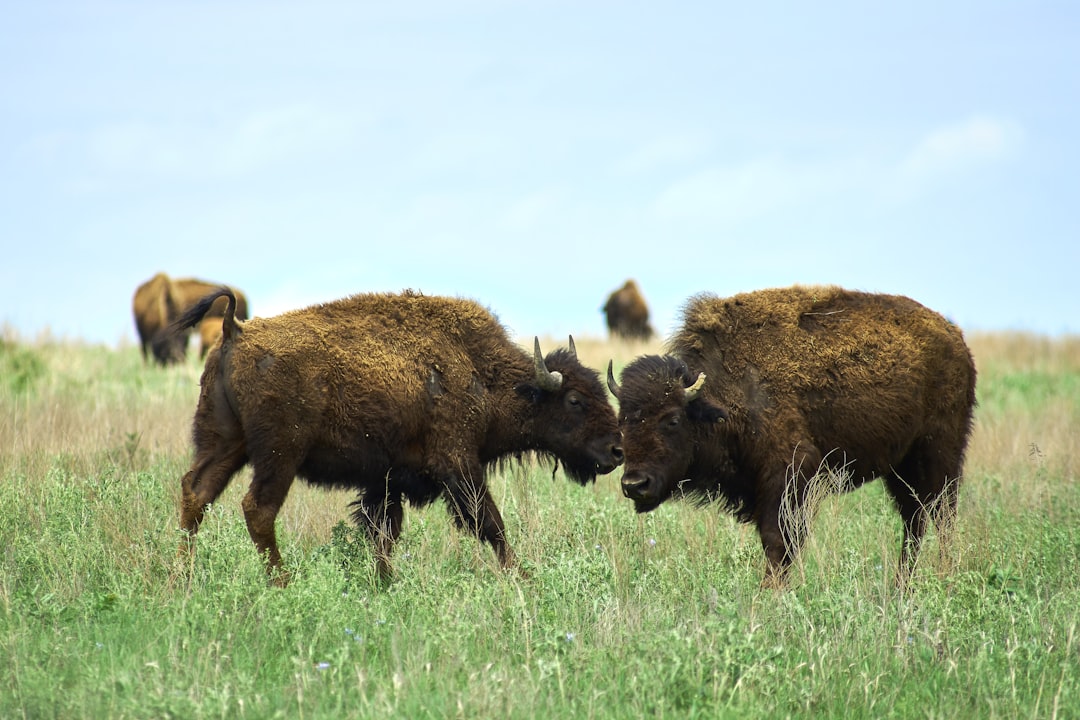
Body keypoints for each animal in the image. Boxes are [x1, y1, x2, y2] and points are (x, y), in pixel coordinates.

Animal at [169, 287, 626, 587]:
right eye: (574, 401)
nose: (617, 450)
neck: (482, 373)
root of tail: (235, 331)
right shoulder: (458, 465)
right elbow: (490, 524)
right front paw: (523, 577)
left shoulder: (385, 481)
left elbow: (383, 533)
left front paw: (384, 583)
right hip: (279, 454)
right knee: (257, 509)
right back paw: (282, 582)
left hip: (224, 443)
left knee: (195, 493)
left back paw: (181, 579)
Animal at [609, 284, 980, 587]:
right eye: (622, 421)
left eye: (671, 420)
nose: (634, 485)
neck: (719, 395)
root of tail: (956, 339)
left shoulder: (790, 475)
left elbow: (778, 541)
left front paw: (769, 595)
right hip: (900, 467)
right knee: (915, 520)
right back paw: (903, 584)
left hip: (940, 454)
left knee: (942, 515)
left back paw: (942, 577)